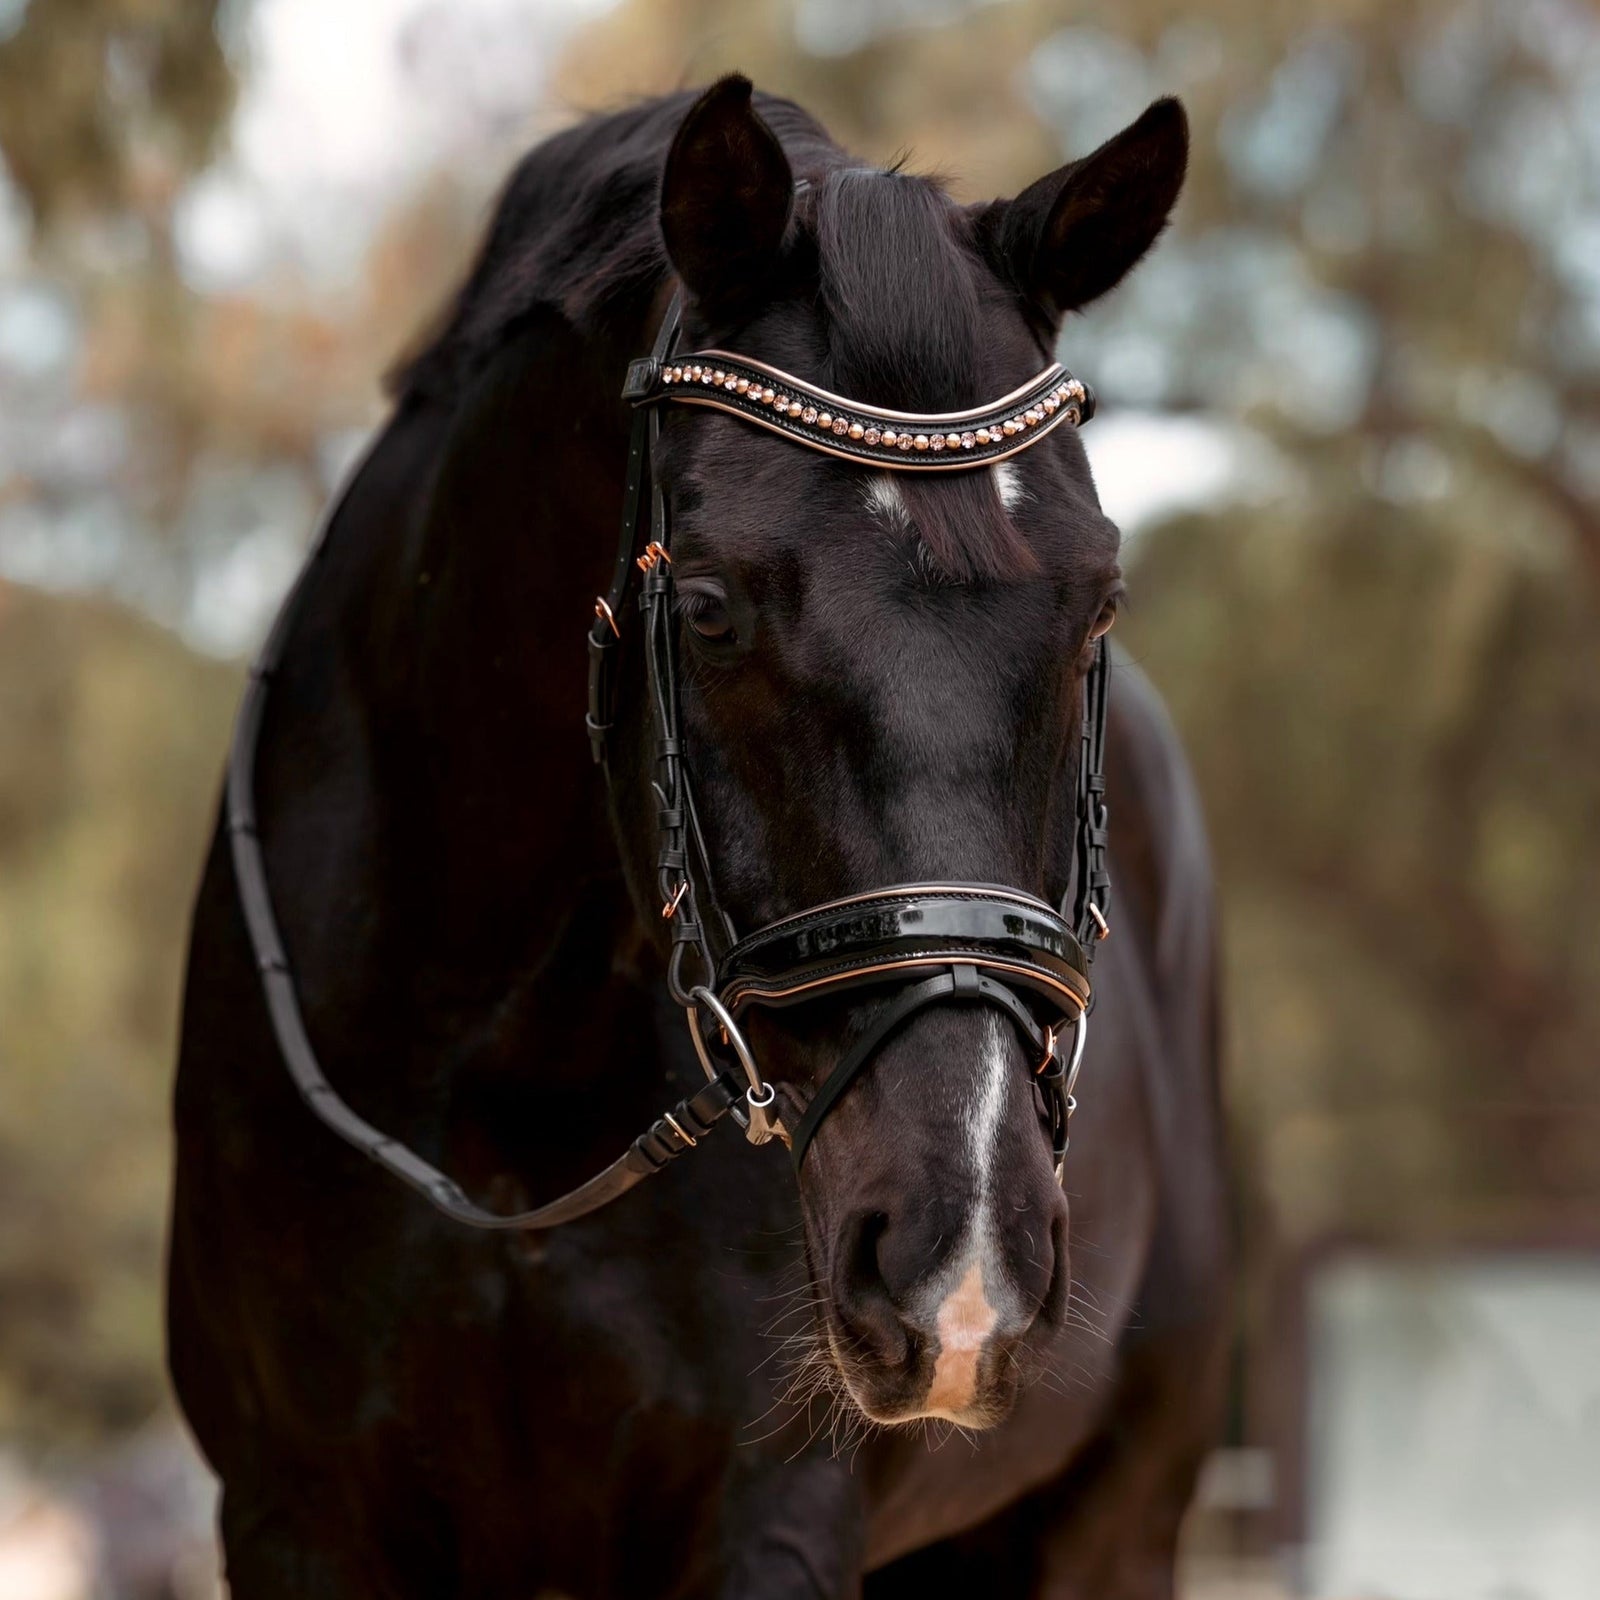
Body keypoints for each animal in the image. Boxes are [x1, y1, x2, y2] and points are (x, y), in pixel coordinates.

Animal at [168, 78, 1228, 1600]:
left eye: (1098, 609)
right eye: (713, 608)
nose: (963, 1255)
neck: (508, 1076)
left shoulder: (770, 1513)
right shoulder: (296, 1511)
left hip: (1115, 1521)